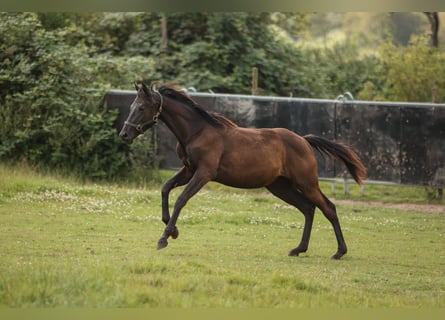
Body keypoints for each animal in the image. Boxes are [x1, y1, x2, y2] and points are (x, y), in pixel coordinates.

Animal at [119, 81, 366, 258]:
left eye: (141, 107)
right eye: (130, 107)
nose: (124, 134)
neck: (197, 132)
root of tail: (304, 140)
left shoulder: (204, 174)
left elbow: (180, 199)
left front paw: (164, 238)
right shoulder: (189, 170)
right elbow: (165, 188)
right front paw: (174, 231)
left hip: (306, 183)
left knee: (328, 208)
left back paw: (339, 252)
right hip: (280, 186)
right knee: (307, 208)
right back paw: (298, 249)